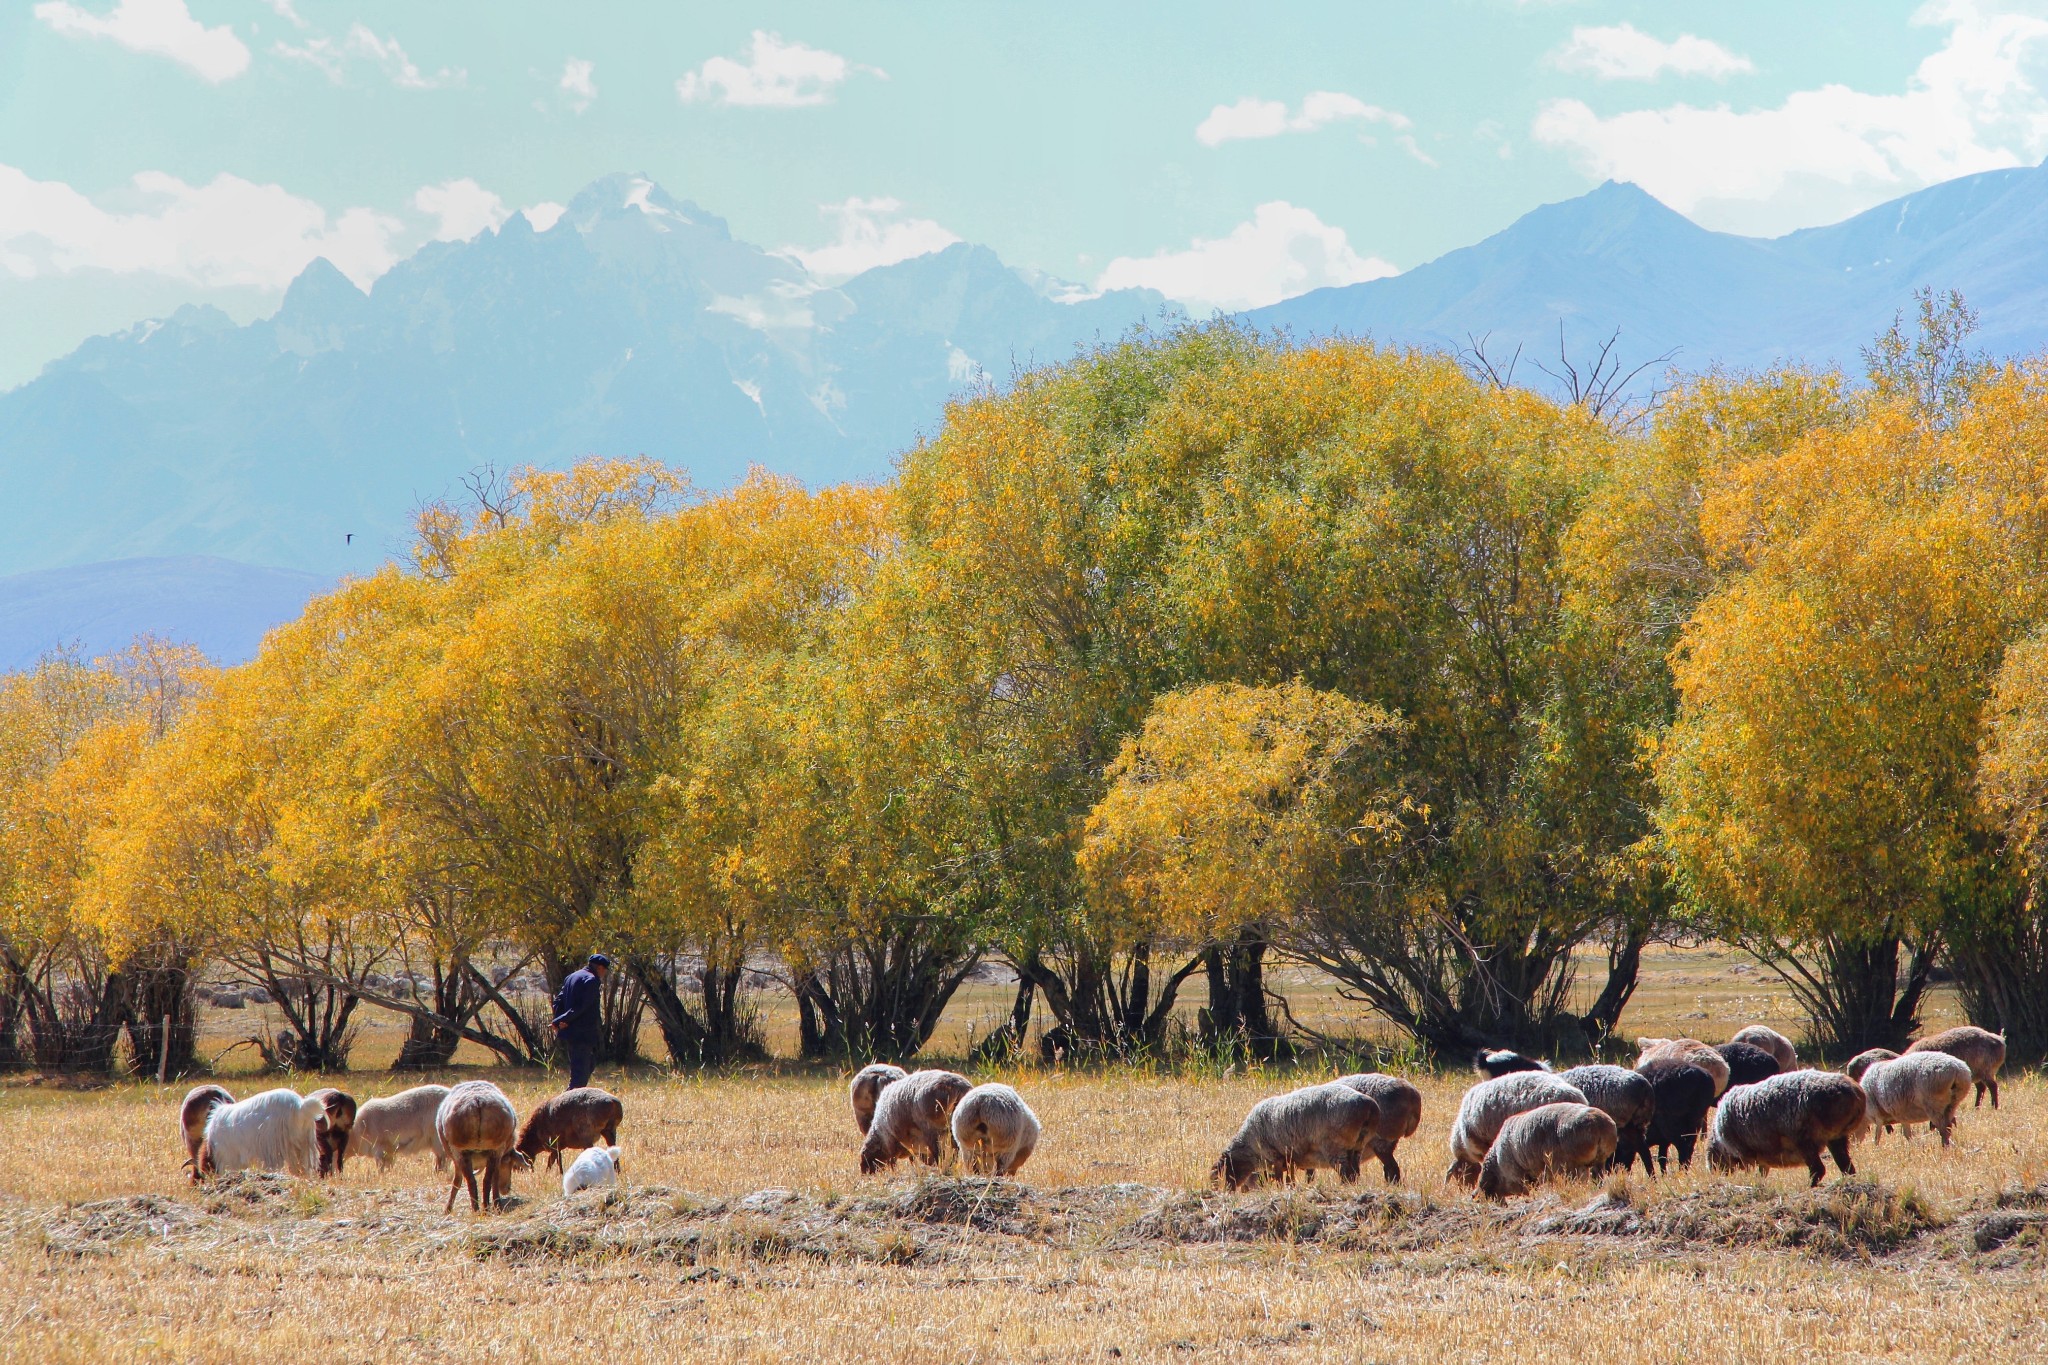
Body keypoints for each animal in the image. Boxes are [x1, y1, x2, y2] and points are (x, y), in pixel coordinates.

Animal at [1204, 1080, 1384, 1186]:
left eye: (1217, 1176)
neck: (1249, 1146)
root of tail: (1369, 1107)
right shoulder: (1290, 1159)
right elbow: (1290, 1179)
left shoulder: (1274, 1156)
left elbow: (1279, 1180)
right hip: (1357, 1147)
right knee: (1355, 1172)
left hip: (1335, 1146)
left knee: (1346, 1173)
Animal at [1703, 1064, 1867, 1186]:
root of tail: (1856, 1093)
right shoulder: (1761, 1155)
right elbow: (1762, 1171)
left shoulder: (1746, 1151)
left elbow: (1754, 1170)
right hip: (1836, 1136)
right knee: (1847, 1167)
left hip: (1804, 1137)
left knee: (1818, 1169)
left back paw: (1810, 1186)